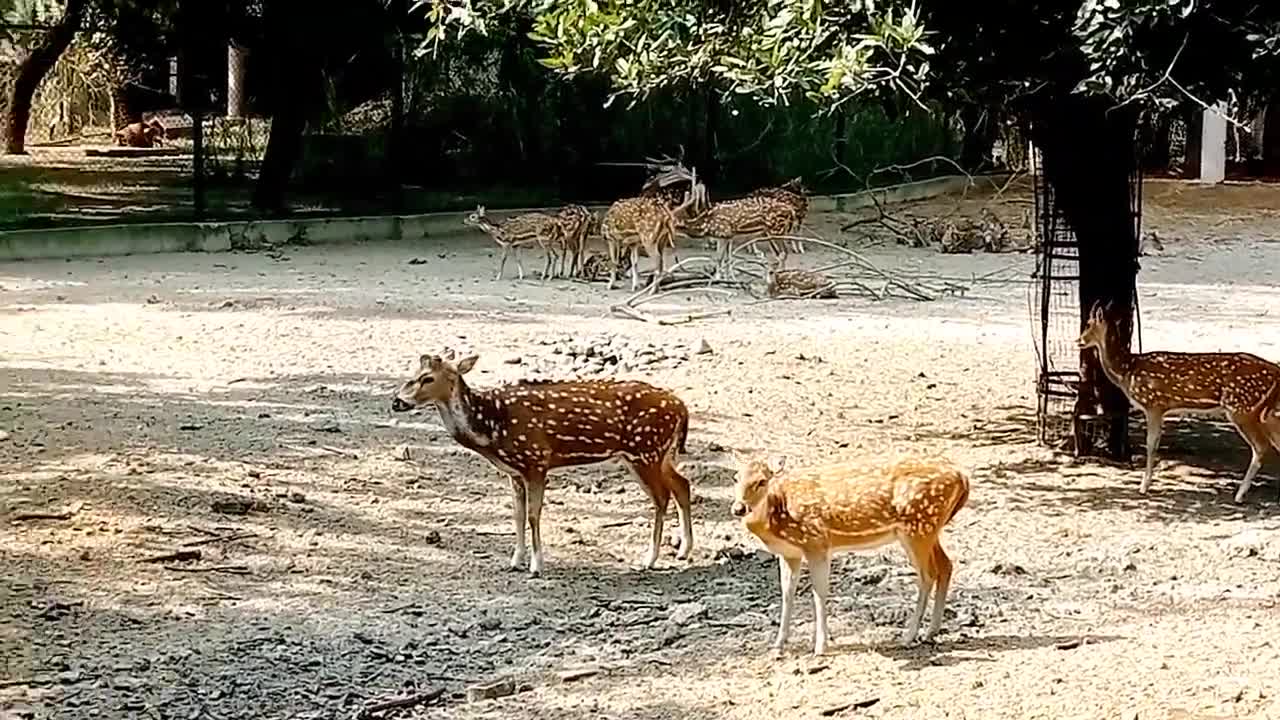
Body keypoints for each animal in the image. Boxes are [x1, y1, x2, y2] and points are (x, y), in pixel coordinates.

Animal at [391, 348, 696, 571]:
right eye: (413, 372)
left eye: (428, 378)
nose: (397, 401)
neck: (492, 428)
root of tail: (682, 407)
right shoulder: (514, 472)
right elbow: (516, 514)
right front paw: (515, 561)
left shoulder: (536, 460)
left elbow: (533, 515)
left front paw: (536, 566)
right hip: (659, 454)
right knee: (683, 484)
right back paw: (683, 551)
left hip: (644, 450)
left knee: (662, 497)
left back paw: (649, 559)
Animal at [732, 450, 967, 653]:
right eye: (736, 478)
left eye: (762, 481)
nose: (738, 508)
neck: (778, 516)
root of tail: (963, 477)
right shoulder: (790, 553)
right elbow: (787, 593)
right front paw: (778, 645)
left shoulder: (816, 541)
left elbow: (819, 592)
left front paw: (820, 646)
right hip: (928, 528)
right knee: (946, 565)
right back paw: (930, 632)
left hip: (918, 525)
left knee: (928, 575)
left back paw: (908, 637)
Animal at [1080, 299, 1280, 502]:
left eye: (1088, 324)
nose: (1079, 341)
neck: (1127, 372)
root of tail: (1275, 370)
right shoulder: (1159, 409)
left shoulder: (1153, 404)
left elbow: (1151, 444)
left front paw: (1143, 487)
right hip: (1263, 411)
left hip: (1242, 407)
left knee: (1261, 447)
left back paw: (1239, 495)